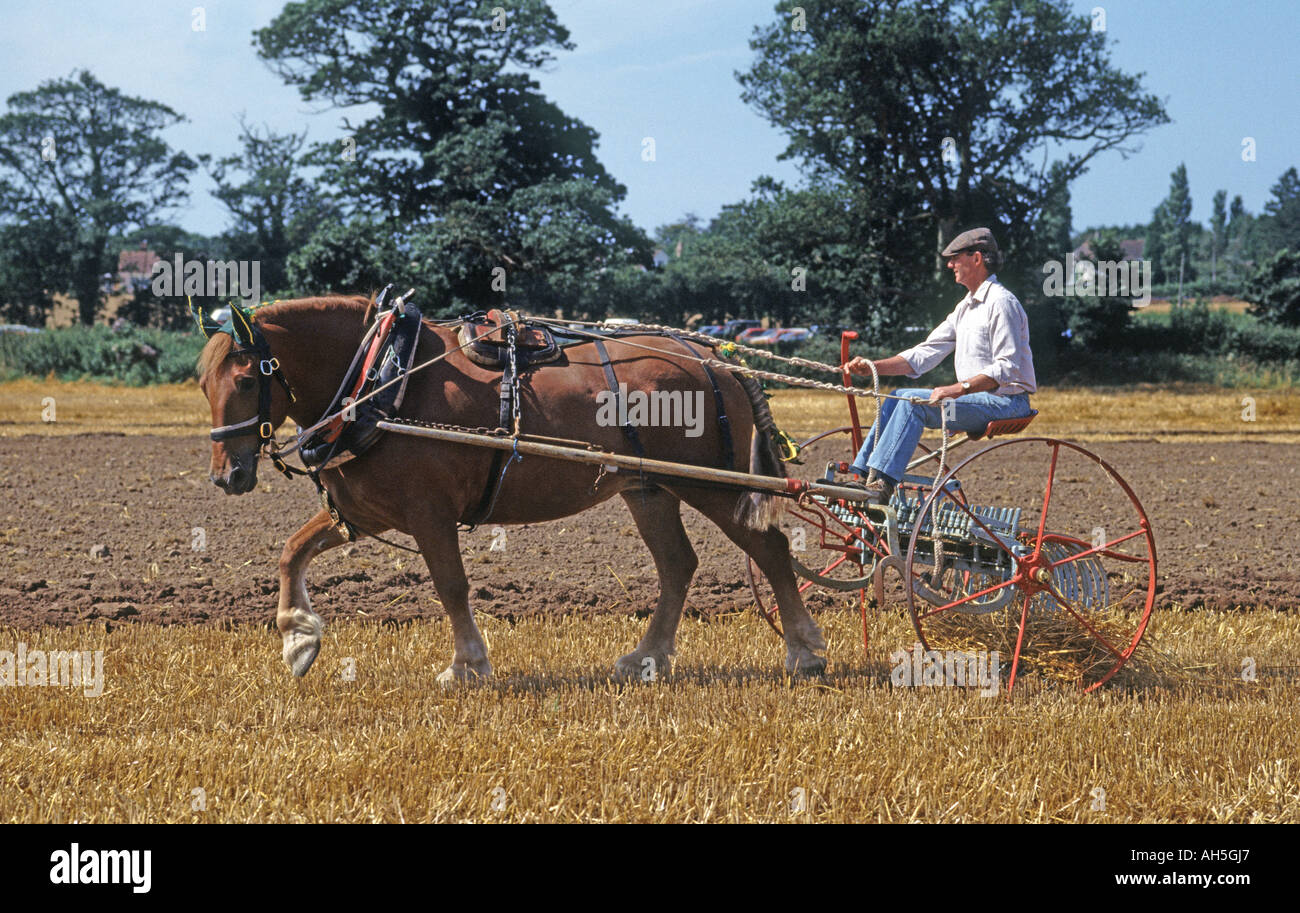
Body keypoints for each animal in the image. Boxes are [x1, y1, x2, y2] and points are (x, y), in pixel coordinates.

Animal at [194, 295, 827, 683]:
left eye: (247, 381)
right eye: (202, 382)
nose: (227, 475)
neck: (381, 380)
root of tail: (714, 357)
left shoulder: (428, 511)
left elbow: (451, 585)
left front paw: (467, 665)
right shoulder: (365, 511)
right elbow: (291, 552)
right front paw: (298, 640)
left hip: (710, 483)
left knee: (769, 549)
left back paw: (803, 650)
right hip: (648, 488)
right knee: (678, 564)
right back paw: (647, 658)